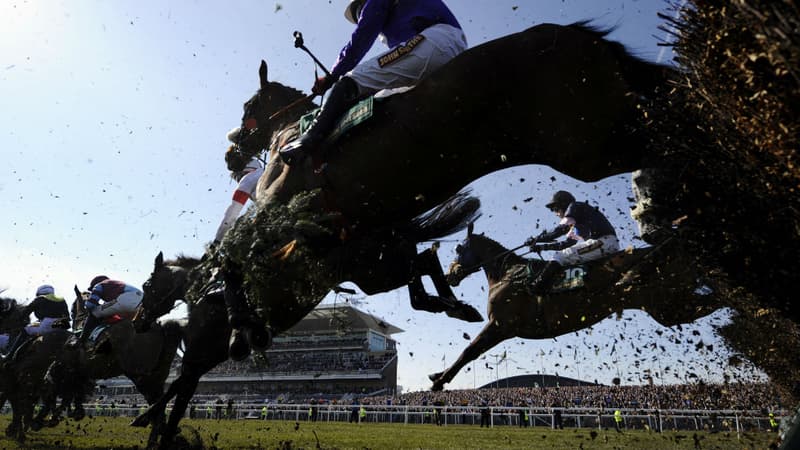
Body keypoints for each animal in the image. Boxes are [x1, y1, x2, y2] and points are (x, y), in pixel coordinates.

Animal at [432, 225, 724, 390]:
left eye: (458, 248)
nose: (449, 275)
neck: (507, 273)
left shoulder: (501, 325)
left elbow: (469, 351)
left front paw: (439, 380)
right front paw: (438, 374)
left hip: (665, 302)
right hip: (667, 306)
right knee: (714, 300)